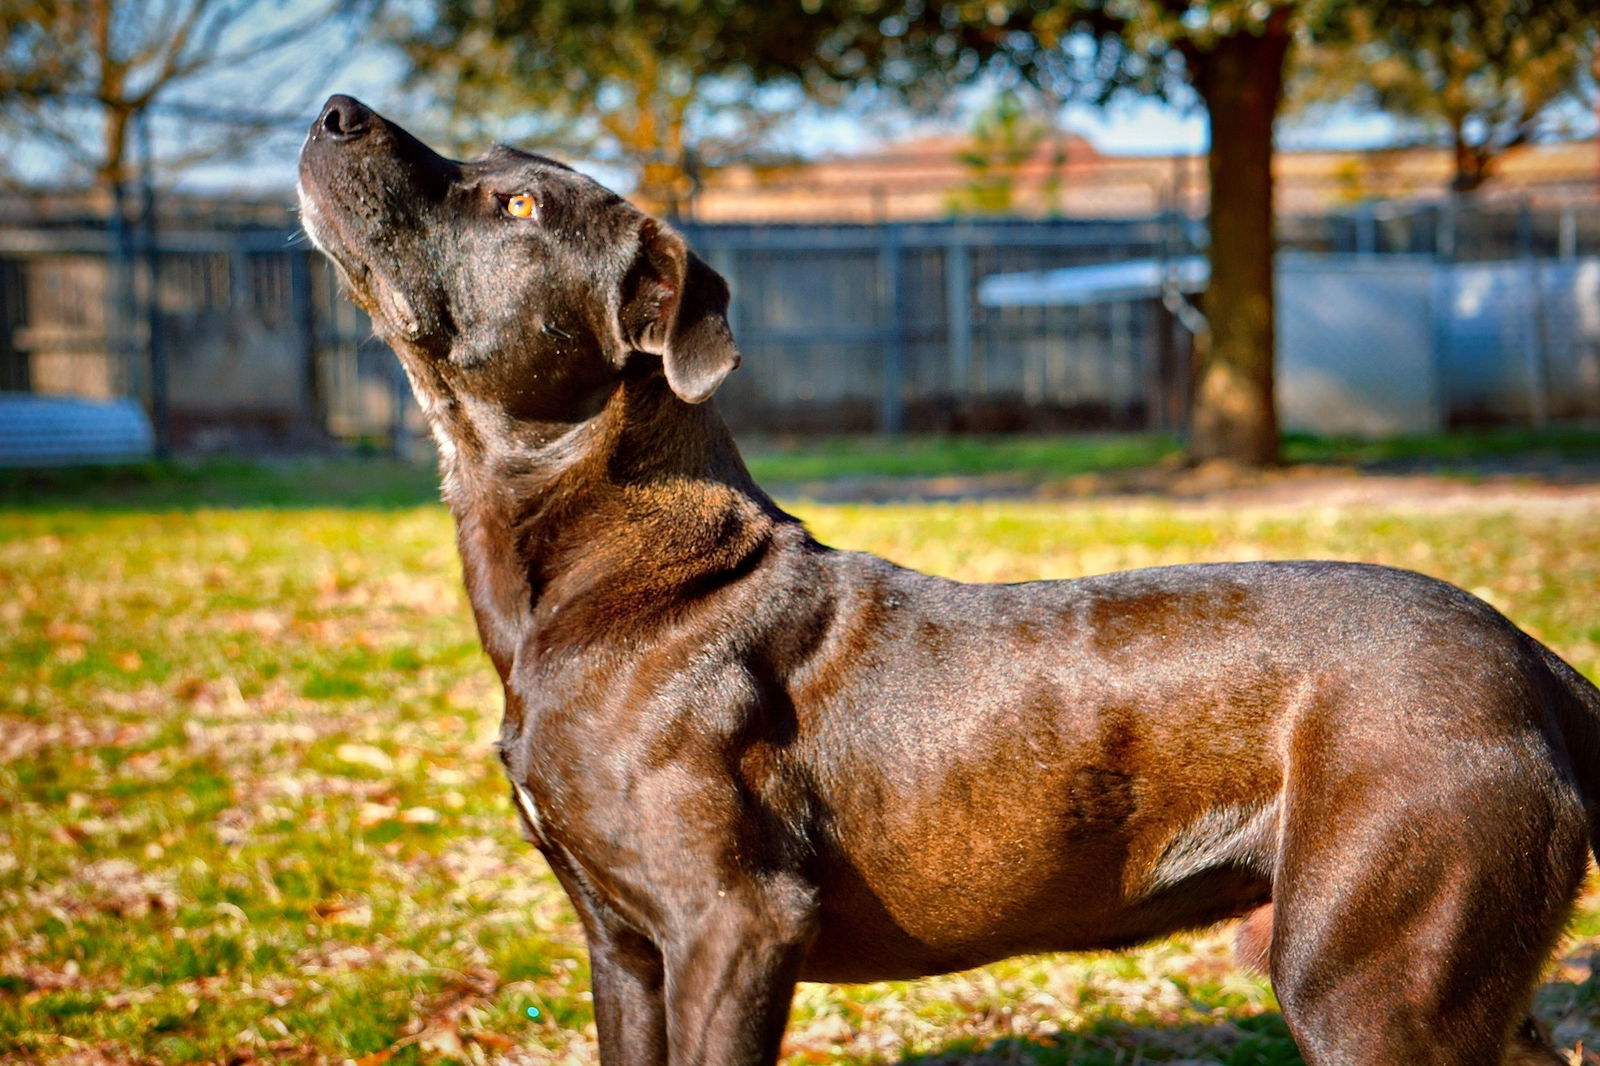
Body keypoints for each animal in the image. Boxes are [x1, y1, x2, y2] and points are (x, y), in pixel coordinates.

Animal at [300, 95, 1600, 1056]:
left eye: (517, 205)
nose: (336, 111)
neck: (591, 555)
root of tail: (1537, 661)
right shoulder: (623, 948)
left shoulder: (733, 926)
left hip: (1365, 979)